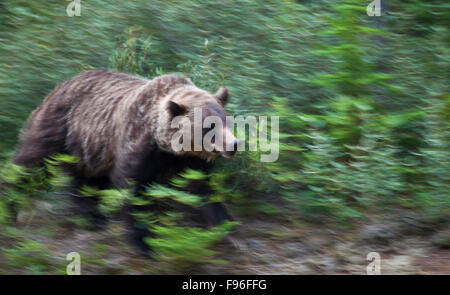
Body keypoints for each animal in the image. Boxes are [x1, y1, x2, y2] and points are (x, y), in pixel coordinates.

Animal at [13, 70, 239, 256]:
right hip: (61, 127)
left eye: (225, 119)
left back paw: (92, 217)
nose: (234, 144)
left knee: (86, 180)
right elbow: (131, 188)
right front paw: (144, 244)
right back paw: (13, 205)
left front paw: (227, 227)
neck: (166, 146)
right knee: (32, 161)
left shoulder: (188, 161)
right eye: (209, 126)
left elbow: (203, 188)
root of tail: (59, 86)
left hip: (91, 148)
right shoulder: (137, 143)